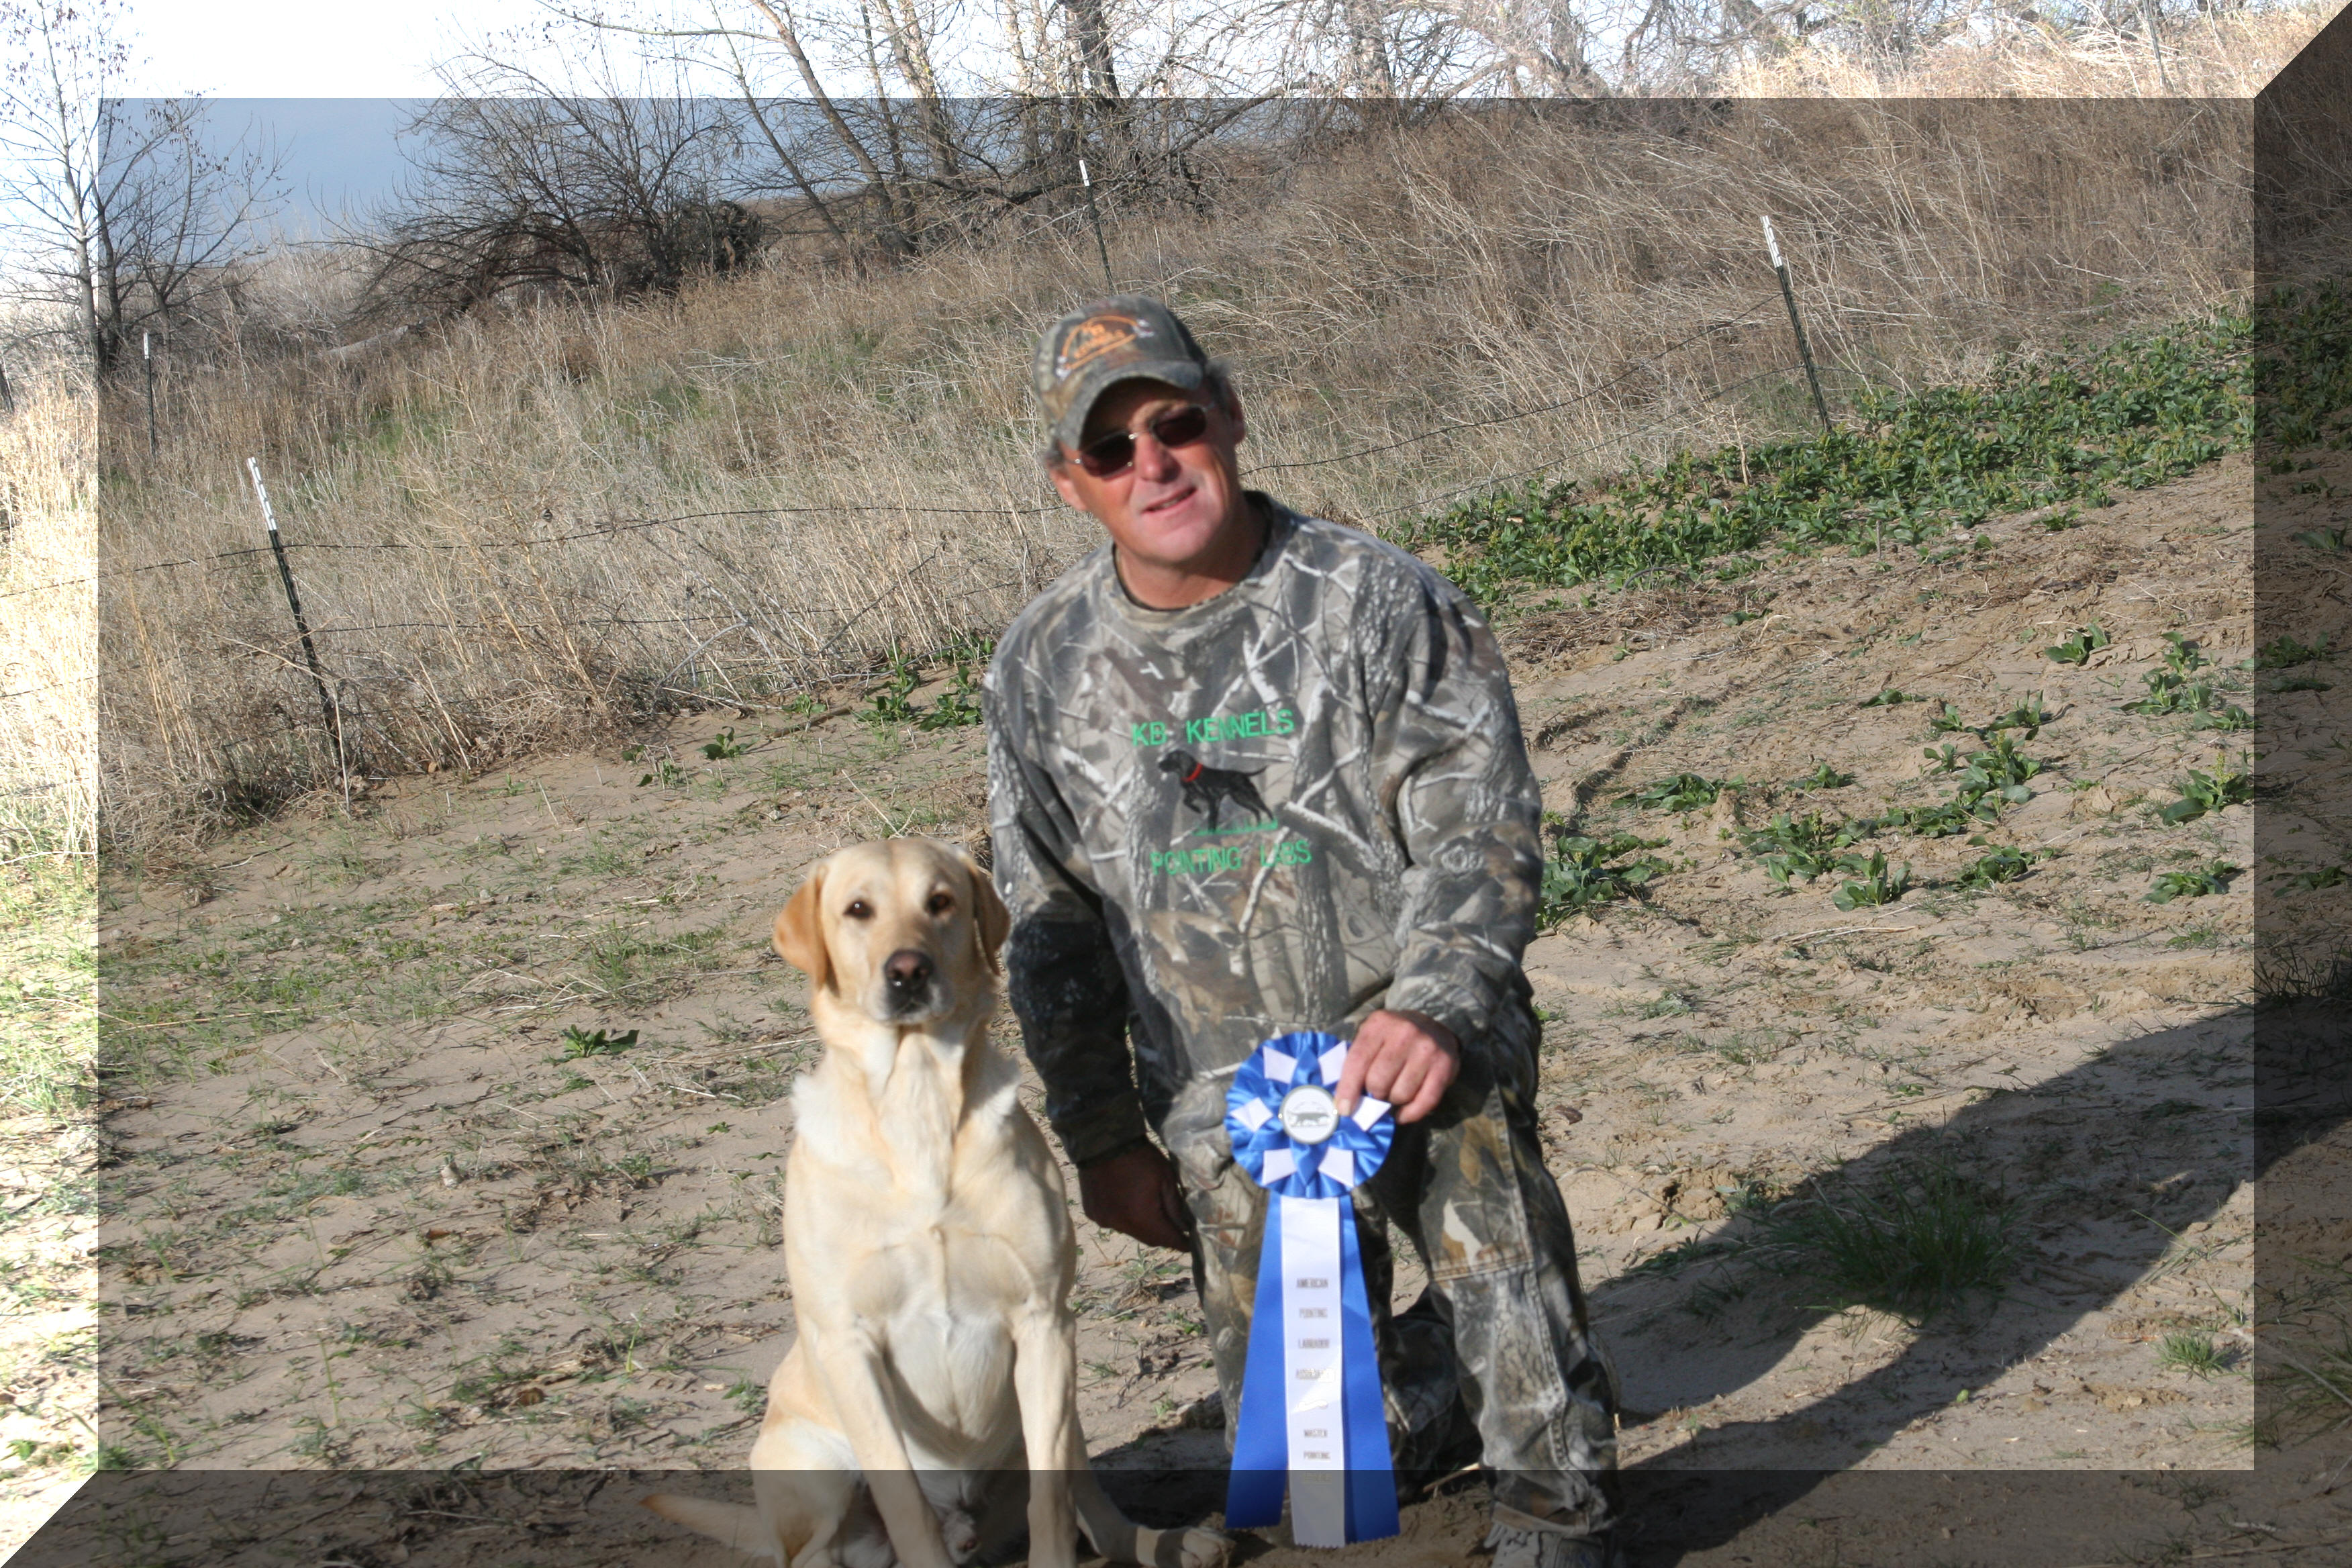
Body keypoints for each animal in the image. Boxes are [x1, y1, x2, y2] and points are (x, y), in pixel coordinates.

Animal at [644, 841, 1232, 1568]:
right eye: (858, 909)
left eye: (941, 902)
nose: (908, 970)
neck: (916, 1098)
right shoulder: (850, 1344)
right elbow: (906, 1505)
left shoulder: (1044, 1321)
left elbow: (1052, 1500)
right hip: (817, 1466)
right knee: (816, 1552)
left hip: (1052, 1413)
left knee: (1091, 1504)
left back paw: (1170, 1541)